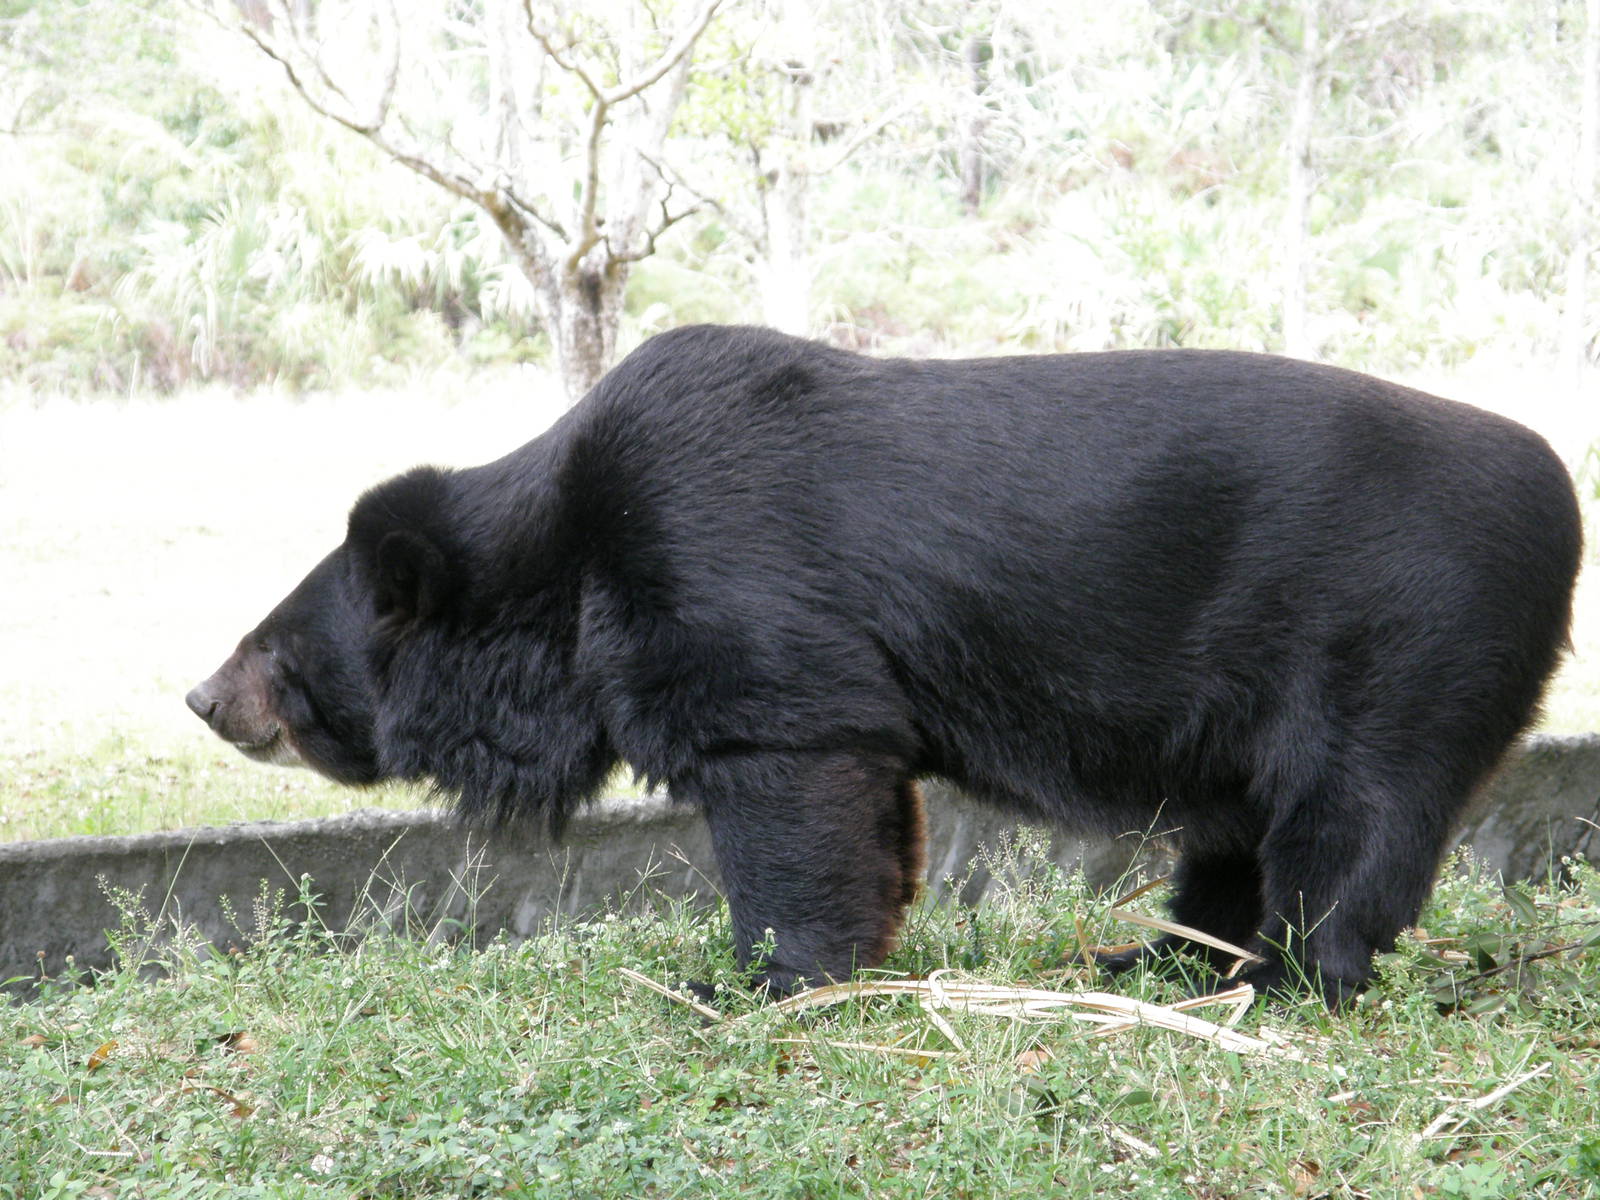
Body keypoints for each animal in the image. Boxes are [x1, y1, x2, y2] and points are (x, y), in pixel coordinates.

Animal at [187, 324, 1582, 1006]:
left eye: (276, 652)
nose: (204, 699)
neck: (560, 571)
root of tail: (1565, 504)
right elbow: (871, 807)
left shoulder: (743, 619)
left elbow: (792, 785)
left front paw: (750, 982)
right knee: (1235, 830)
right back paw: (1165, 962)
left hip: (1400, 645)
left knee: (1349, 818)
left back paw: (1285, 983)